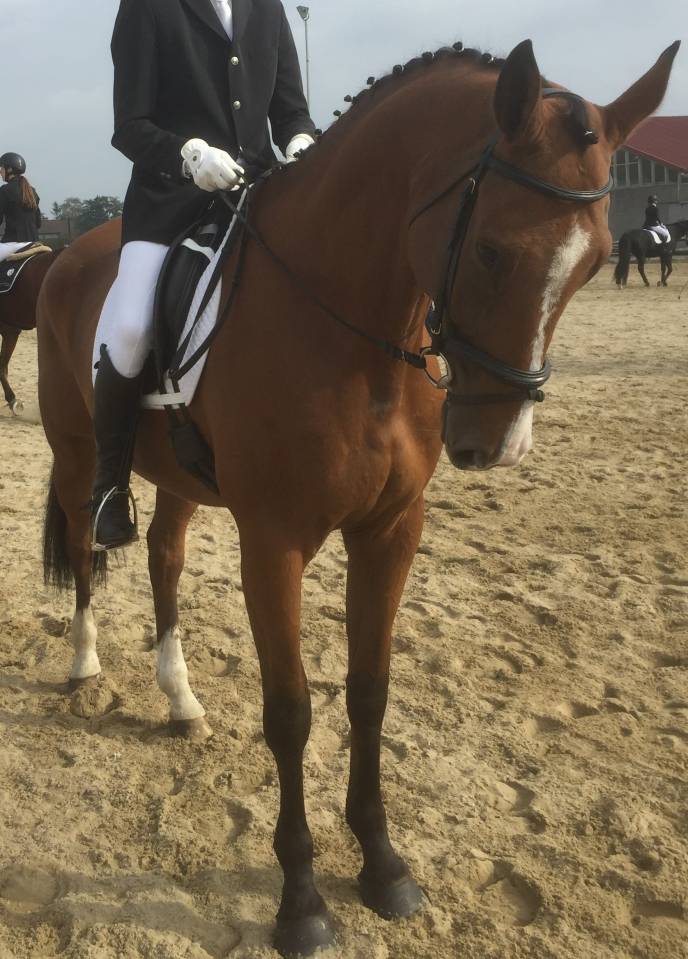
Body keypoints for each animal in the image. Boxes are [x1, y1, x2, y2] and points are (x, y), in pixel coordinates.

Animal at [36, 38, 678, 958]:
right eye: (492, 250)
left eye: (590, 262)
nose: (496, 444)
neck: (350, 329)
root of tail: (66, 252)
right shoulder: (273, 542)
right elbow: (291, 709)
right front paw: (302, 901)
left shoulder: (390, 530)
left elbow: (370, 691)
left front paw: (383, 866)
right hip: (75, 446)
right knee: (88, 546)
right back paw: (85, 661)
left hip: (182, 481)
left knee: (164, 556)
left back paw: (181, 698)